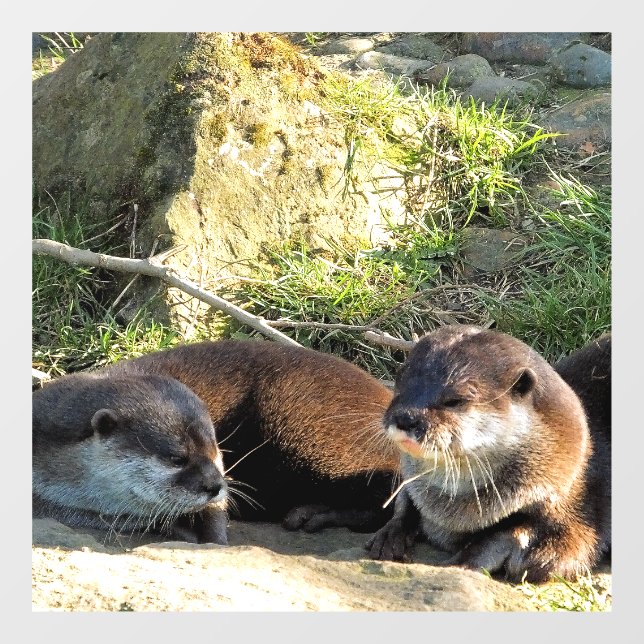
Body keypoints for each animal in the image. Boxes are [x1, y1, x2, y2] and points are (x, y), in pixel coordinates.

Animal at [365, 325, 611, 583]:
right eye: (399, 381)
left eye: (455, 400)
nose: (405, 418)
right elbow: (405, 502)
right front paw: (390, 534)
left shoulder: (577, 507)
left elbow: (547, 551)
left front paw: (461, 564)